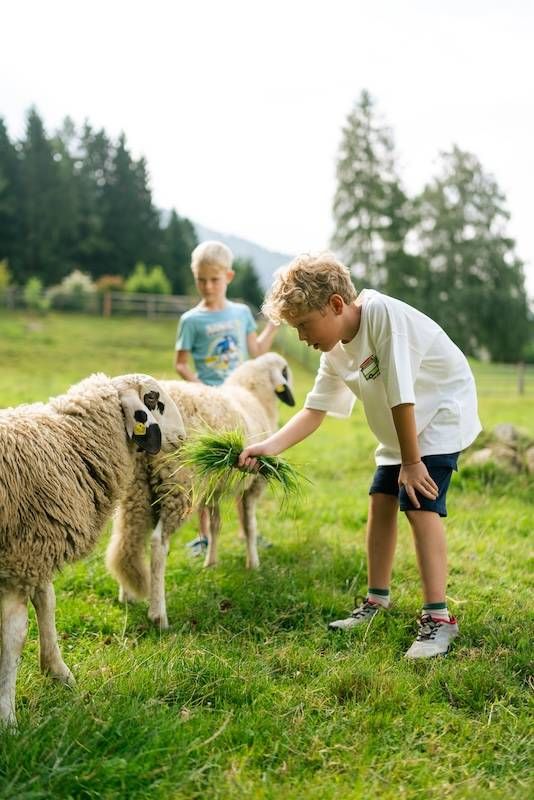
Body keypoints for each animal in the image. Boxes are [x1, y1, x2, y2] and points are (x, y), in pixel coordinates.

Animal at [0, 372, 186, 728]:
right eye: (154, 399)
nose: (184, 437)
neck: (70, 442)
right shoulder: (21, 557)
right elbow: (13, 638)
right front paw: (7, 720)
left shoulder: (35, 550)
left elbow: (47, 602)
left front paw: (57, 671)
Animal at [105, 352, 295, 629]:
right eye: (285, 371)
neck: (255, 396)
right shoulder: (253, 484)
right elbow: (249, 525)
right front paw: (253, 564)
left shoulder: (212, 490)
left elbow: (215, 525)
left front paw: (211, 563)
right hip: (178, 486)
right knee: (157, 544)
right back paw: (158, 614)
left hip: (136, 490)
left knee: (126, 539)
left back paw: (127, 594)